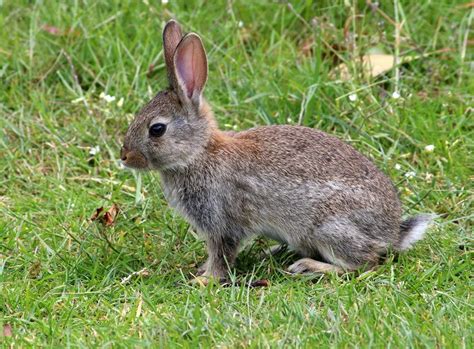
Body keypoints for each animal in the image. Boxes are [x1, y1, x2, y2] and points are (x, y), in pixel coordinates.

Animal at [121, 19, 434, 282]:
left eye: (156, 129)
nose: (124, 157)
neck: (199, 154)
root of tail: (392, 233)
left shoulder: (223, 222)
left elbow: (222, 254)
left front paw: (204, 280)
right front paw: (201, 272)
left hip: (331, 228)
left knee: (365, 262)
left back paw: (308, 266)